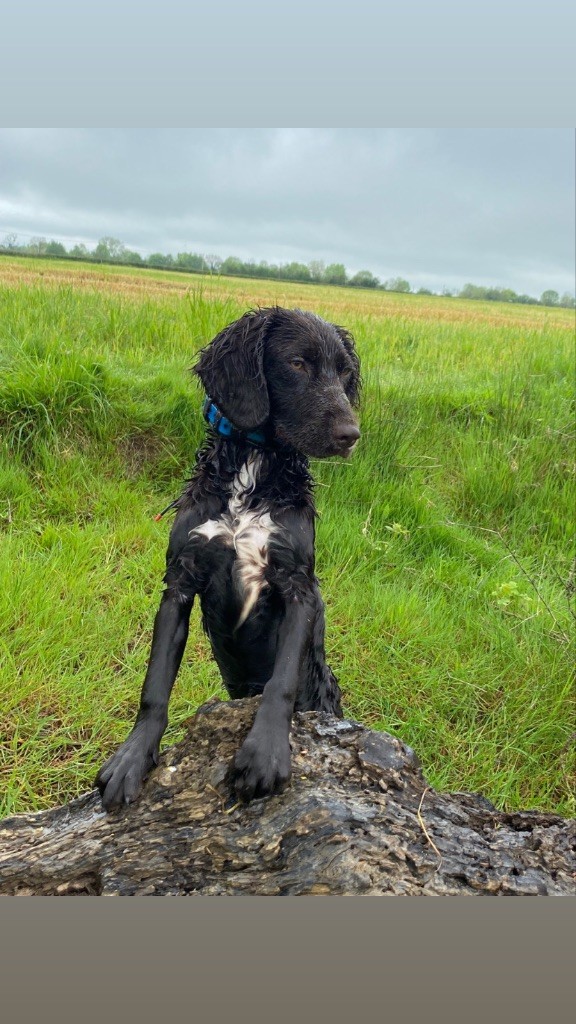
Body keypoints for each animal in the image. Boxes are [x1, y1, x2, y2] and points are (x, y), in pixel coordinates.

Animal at [96, 303, 360, 806]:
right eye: (298, 363)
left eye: (344, 373)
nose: (351, 434)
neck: (251, 472)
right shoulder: (179, 580)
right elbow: (154, 687)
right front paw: (131, 758)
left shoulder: (298, 584)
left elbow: (282, 682)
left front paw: (266, 753)